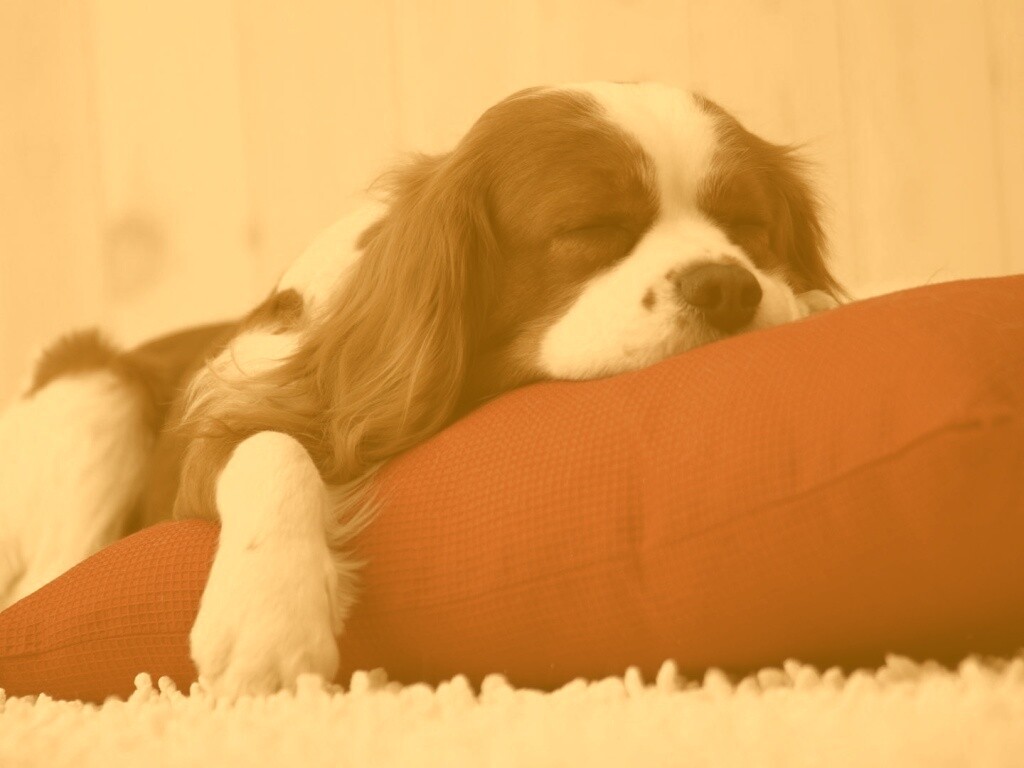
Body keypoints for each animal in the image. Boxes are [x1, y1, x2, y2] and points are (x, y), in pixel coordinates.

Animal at [0, 82, 842, 697]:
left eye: (750, 228)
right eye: (591, 231)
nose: (728, 286)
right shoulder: (221, 430)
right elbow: (271, 446)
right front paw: (268, 617)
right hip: (90, 383)